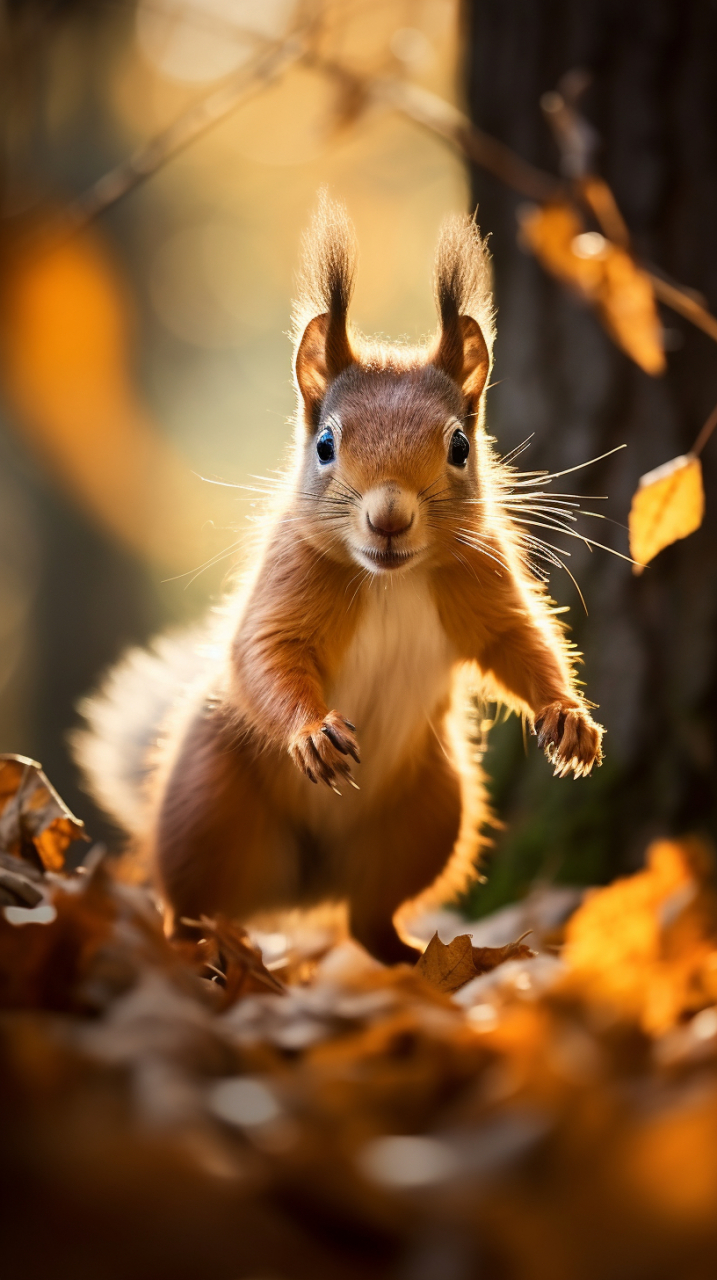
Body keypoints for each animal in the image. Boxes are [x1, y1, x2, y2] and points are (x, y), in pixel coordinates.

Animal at [72, 197, 601, 962]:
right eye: (325, 444)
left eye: (459, 445)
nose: (389, 518)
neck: (388, 581)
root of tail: (302, 891)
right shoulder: (290, 577)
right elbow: (265, 654)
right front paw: (313, 733)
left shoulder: (481, 575)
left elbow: (518, 643)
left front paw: (568, 719)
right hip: (208, 803)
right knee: (190, 903)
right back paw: (199, 952)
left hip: (431, 810)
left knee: (366, 918)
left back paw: (419, 963)